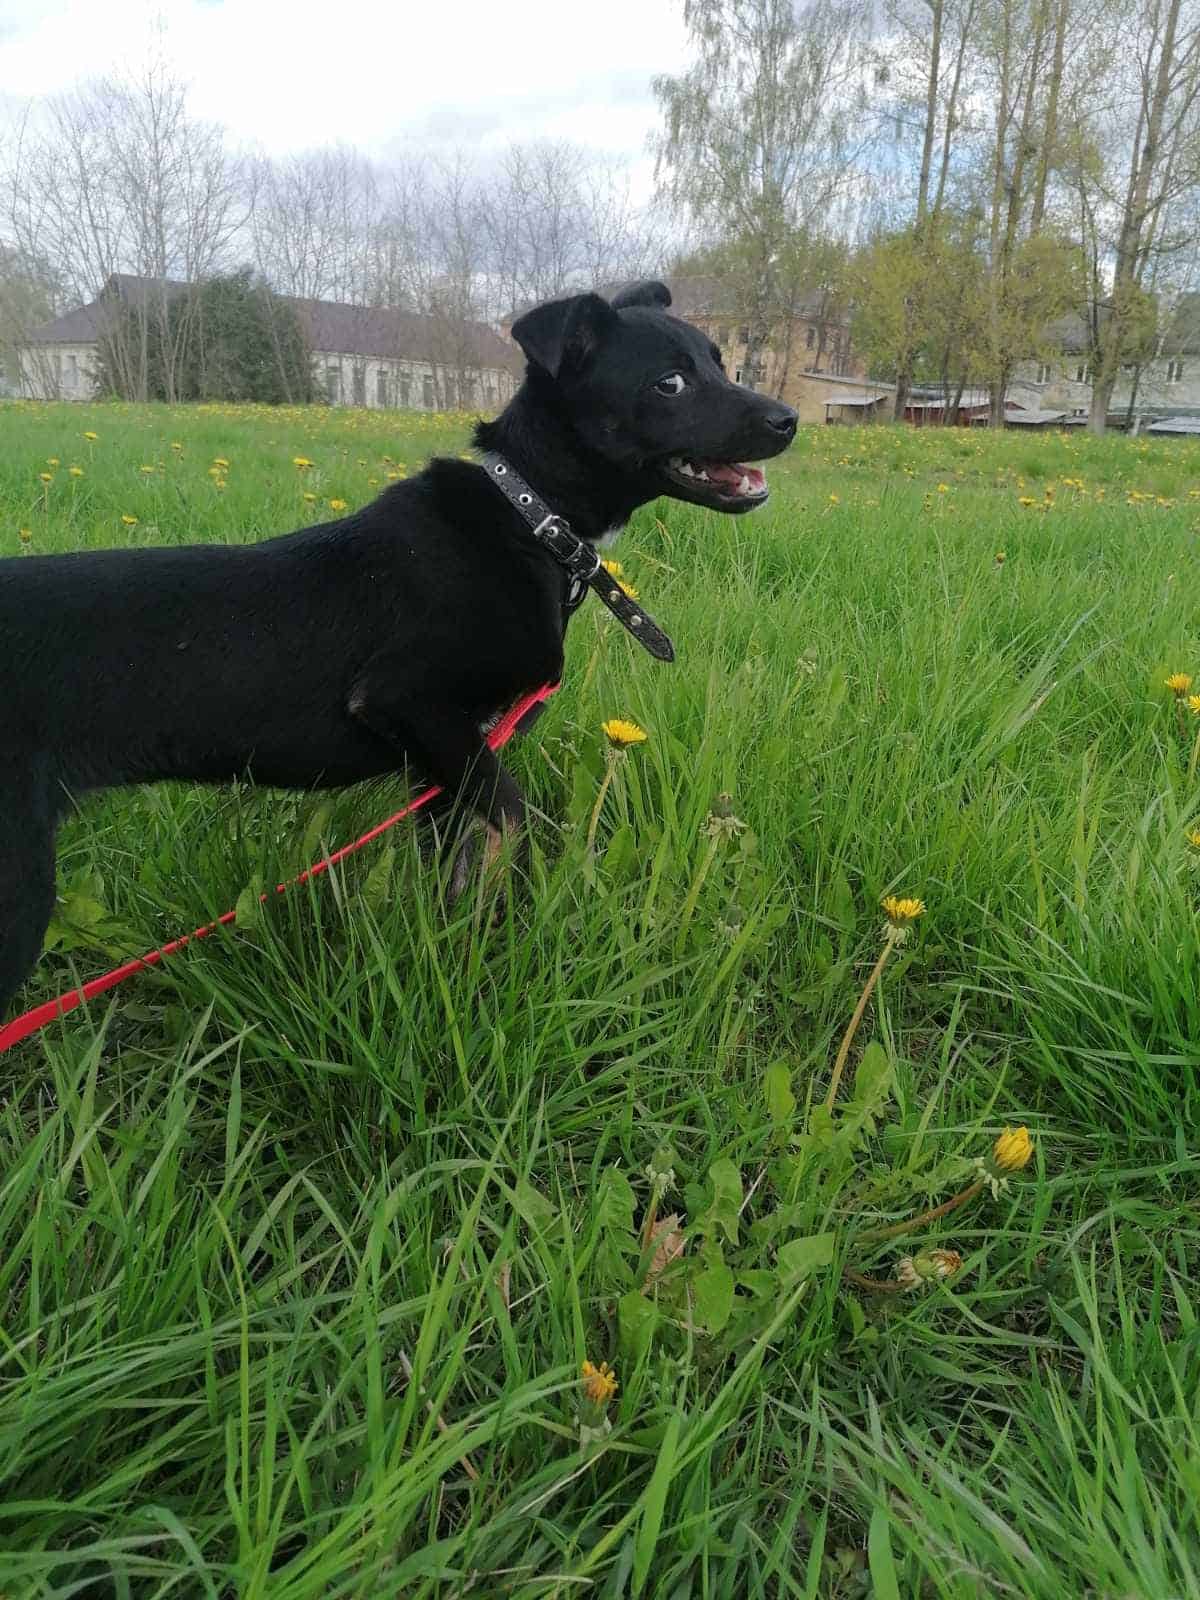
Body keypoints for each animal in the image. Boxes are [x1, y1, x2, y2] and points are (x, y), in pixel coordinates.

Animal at [0, 280, 796, 1013]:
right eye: (670, 382)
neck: (531, 517)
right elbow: (513, 820)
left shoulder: (440, 759)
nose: (788, 420)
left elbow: (452, 864)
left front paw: (446, 946)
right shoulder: (410, 702)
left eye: (720, 361)